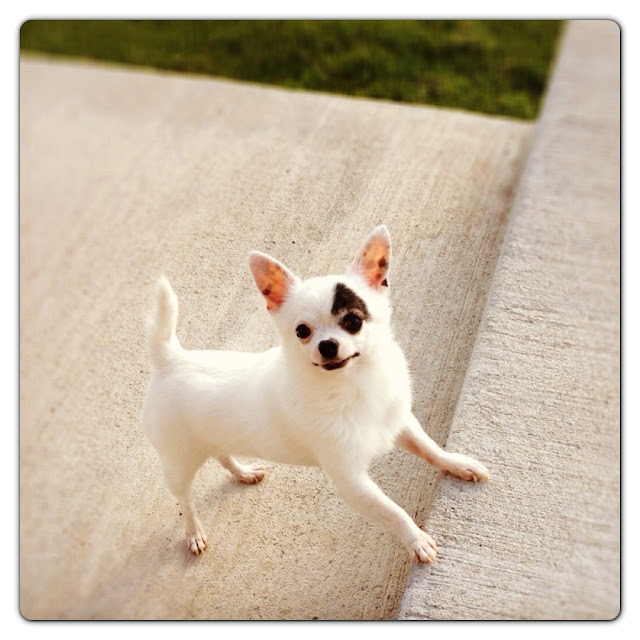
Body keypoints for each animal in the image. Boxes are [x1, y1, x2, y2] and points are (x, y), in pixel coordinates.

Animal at [142, 225, 489, 562]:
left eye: (353, 321)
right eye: (302, 331)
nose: (327, 345)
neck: (353, 386)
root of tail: (172, 359)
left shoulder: (400, 423)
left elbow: (430, 449)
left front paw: (459, 465)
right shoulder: (352, 481)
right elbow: (393, 510)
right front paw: (415, 539)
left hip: (213, 435)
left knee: (222, 454)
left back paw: (243, 473)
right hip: (178, 463)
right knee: (184, 499)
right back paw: (193, 532)